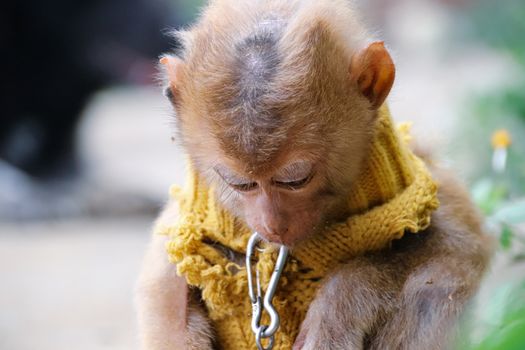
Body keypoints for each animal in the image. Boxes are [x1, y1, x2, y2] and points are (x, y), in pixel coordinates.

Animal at [136, 0, 492, 350]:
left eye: (295, 181)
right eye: (240, 184)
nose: (273, 225)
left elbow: (457, 246)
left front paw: (342, 299)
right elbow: (166, 280)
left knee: (434, 284)